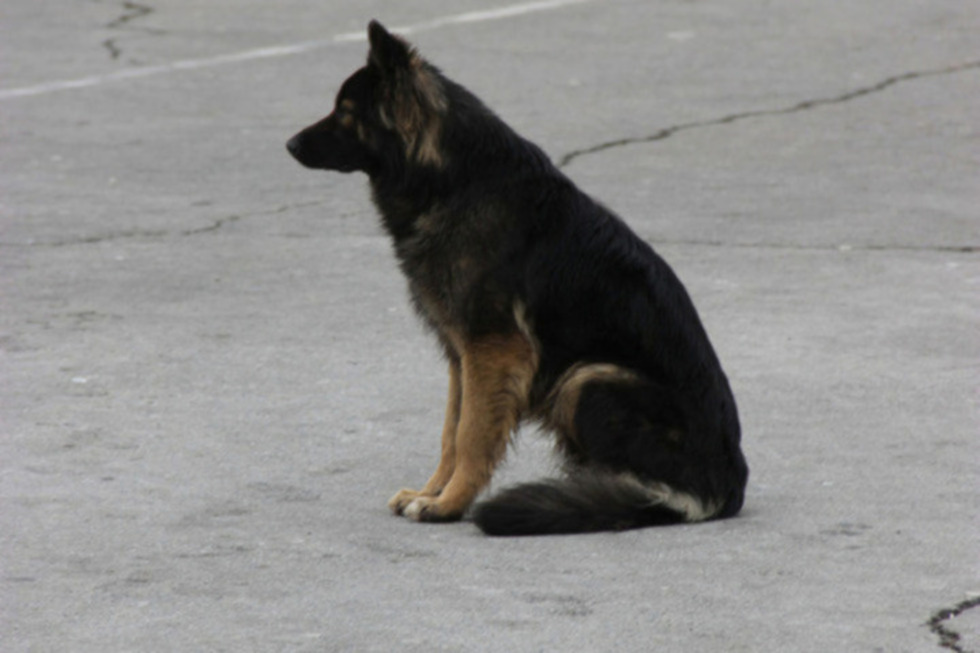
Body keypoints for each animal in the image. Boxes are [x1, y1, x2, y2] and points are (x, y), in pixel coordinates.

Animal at [288, 21, 748, 536]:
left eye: (346, 112)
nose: (290, 145)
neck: (455, 180)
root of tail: (726, 483)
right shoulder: (462, 355)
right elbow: (451, 431)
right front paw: (432, 492)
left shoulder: (493, 350)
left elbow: (471, 435)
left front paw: (449, 504)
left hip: (588, 378)